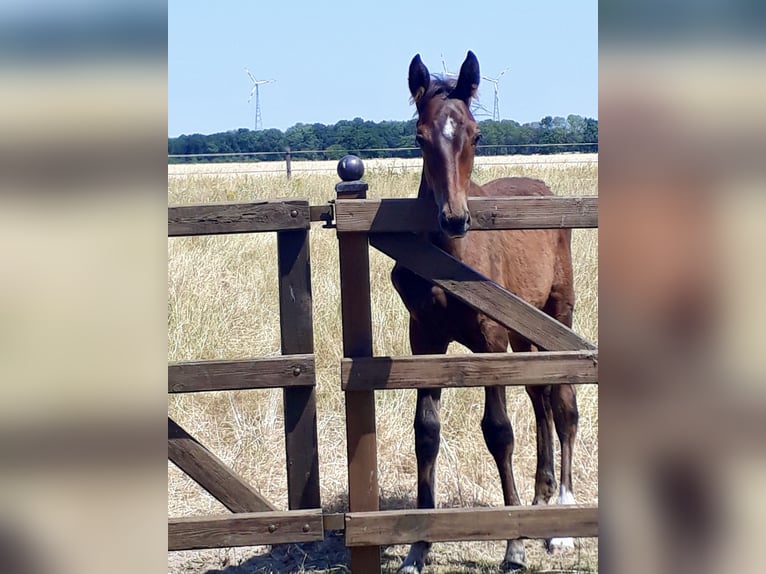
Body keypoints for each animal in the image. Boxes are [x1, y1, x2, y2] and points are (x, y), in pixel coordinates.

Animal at [392, 51, 580, 572]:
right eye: (420, 136)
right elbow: (426, 431)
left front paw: (514, 545)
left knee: (563, 404)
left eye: (476, 133)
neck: (449, 256)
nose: (454, 218)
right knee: (540, 398)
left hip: (557, 316)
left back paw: (562, 516)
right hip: (525, 329)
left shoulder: (490, 338)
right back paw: (540, 499)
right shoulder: (426, 339)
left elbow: (499, 431)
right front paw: (418, 547)